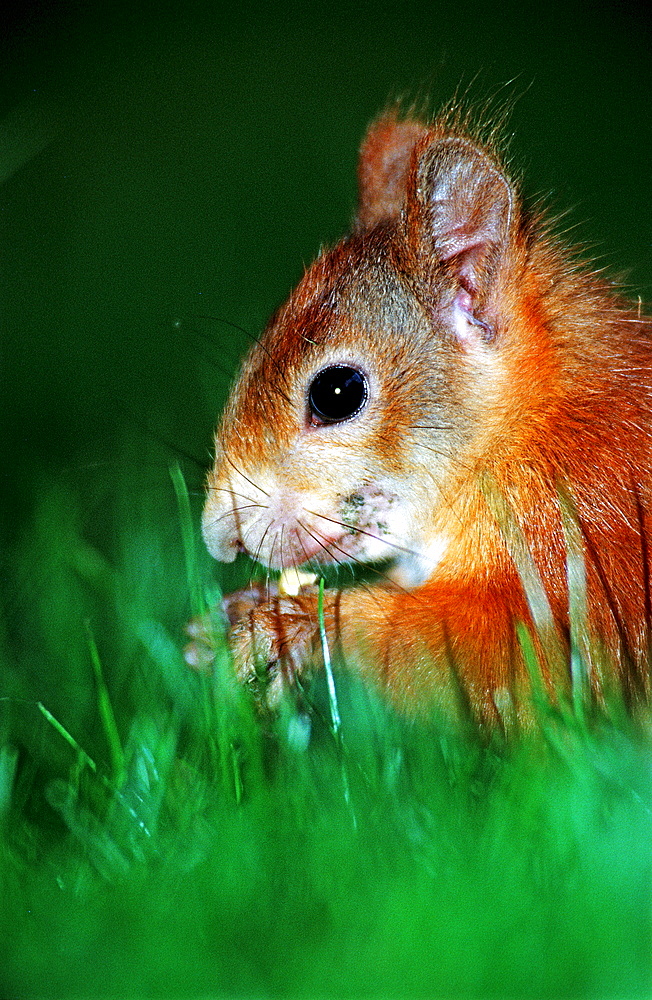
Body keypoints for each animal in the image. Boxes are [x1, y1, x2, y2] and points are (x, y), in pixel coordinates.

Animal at [191, 107, 652, 728]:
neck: (525, 433)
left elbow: (516, 657)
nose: (221, 537)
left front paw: (290, 626)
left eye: (338, 393)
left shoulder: (590, 532)